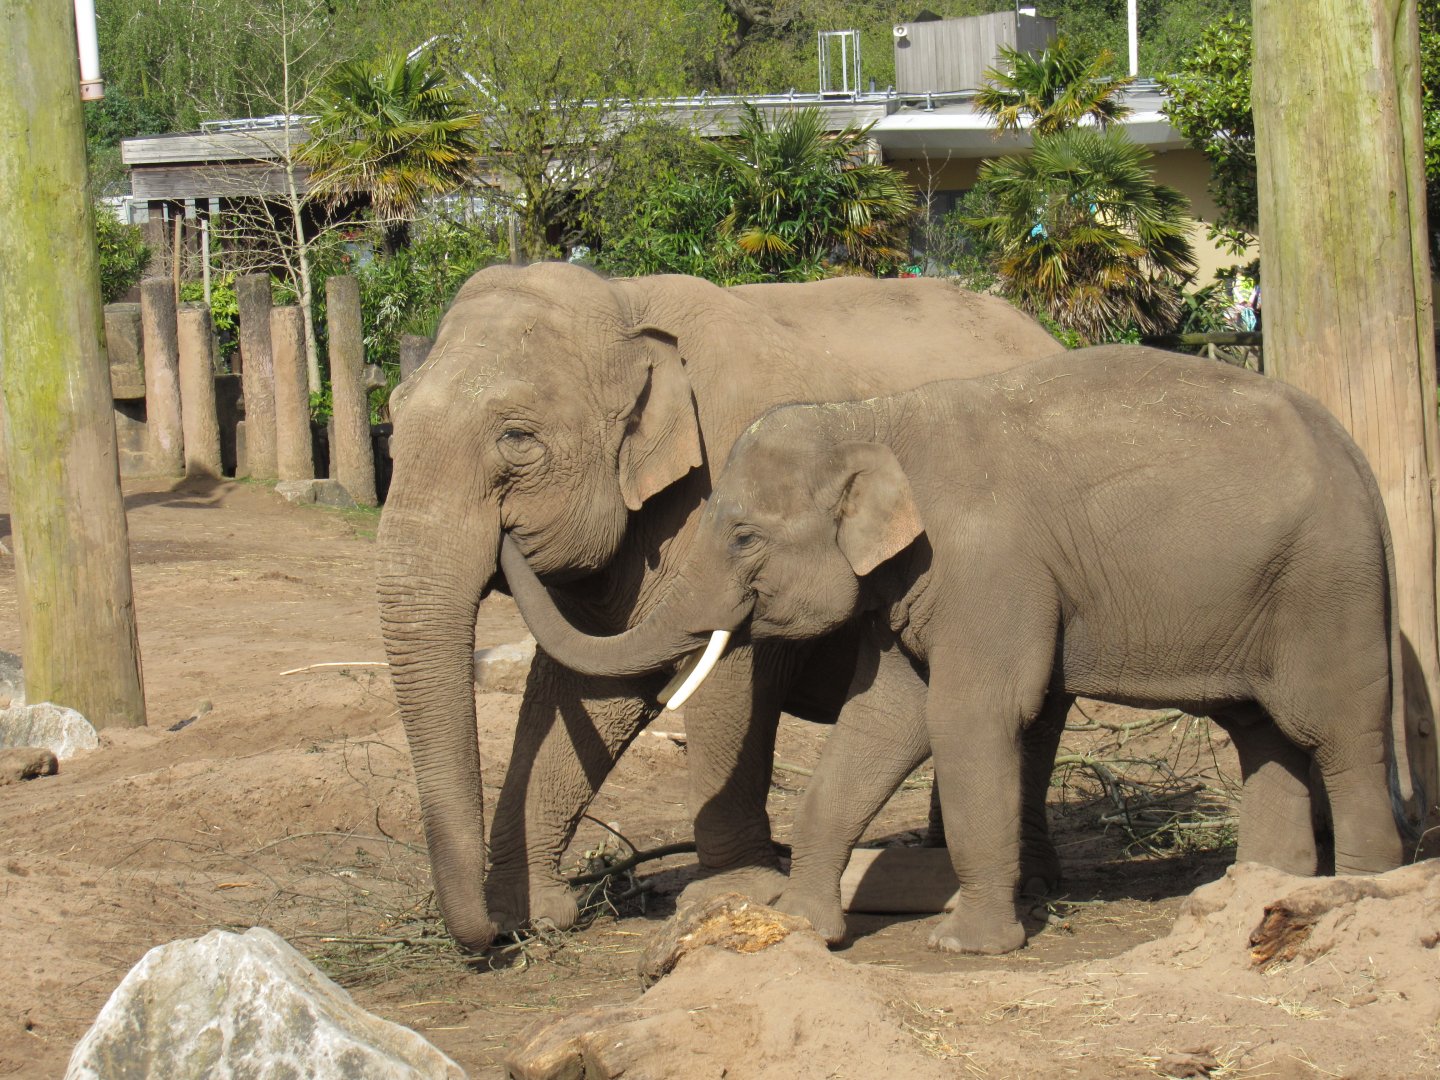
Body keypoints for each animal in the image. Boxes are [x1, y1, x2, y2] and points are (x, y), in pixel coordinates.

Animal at [375, 261, 1061, 951]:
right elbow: (584, 691)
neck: (626, 304)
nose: (485, 935)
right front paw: (529, 917)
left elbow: (728, 675)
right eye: (393, 423)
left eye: (516, 438)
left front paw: (732, 894)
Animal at [499, 344, 1418, 955]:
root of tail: (1358, 457)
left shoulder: (987, 564)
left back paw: (1361, 890)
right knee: (1261, 730)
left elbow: (969, 716)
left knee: (1335, 731)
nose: (508, 529)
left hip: (1326, 589)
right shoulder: (906, 584)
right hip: (1260, 594)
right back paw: (1254, 891)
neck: (877, 415)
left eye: (745, 536)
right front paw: (802, 924)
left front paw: (965, 945)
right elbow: (883, 721)